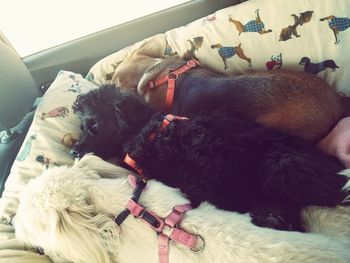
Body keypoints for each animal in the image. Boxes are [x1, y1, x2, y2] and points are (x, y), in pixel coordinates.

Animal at [72, 85, 350, 232]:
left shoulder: (211, 156)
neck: (146, 128)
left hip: (280, 165)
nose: (73, 151)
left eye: (93, 126)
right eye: (81, 126)